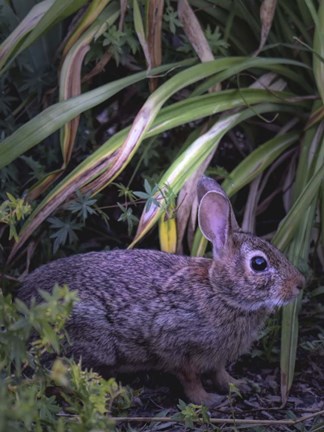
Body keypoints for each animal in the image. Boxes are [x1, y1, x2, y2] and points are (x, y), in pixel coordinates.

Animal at [18, 176, 306, 408]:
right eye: (259, 264)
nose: (300, 283)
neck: (221, 293)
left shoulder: (217, 357)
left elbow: (220, 373)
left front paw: (240, 385)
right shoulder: (176, 344)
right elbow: (190, 379)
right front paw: (208, 400)